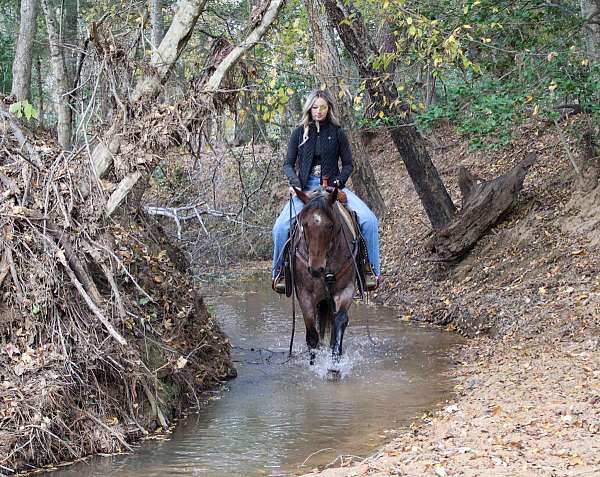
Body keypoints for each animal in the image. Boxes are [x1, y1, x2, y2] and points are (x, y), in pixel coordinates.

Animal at [290, 184, 358, 366]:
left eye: (330, 225)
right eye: (305, 224)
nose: (315, 269)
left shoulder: (346, 289)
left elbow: (340, 320)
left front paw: (335, 362)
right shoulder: (305, 293)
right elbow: (312, 334)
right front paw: (313, 364)